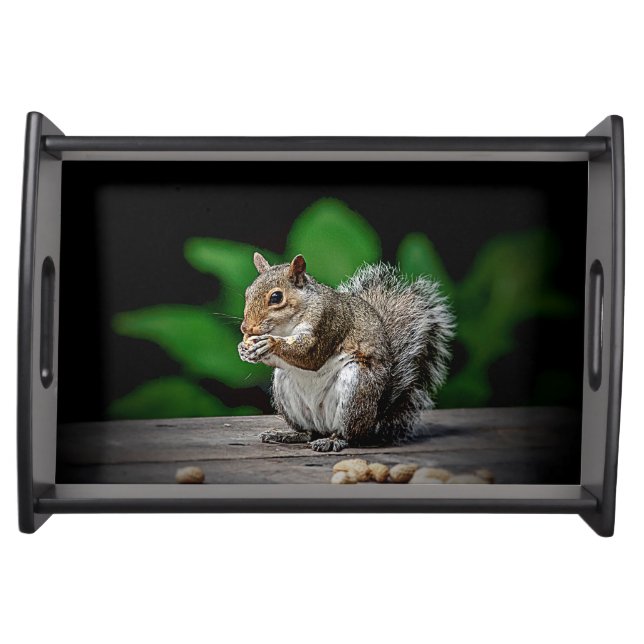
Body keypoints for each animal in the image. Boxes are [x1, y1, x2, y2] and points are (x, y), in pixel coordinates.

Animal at [238, 252, 455, 452]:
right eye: (247, 292)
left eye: (276, 297)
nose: (245, 328)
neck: (285, 327)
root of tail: (374, 420)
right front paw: (244, 349)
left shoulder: (328, 322)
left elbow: (310, 356)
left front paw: (269, 343)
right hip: (285, 387)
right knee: (309, 432)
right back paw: (289, 435)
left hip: (356, 388)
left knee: (348, 434)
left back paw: (333, 440)